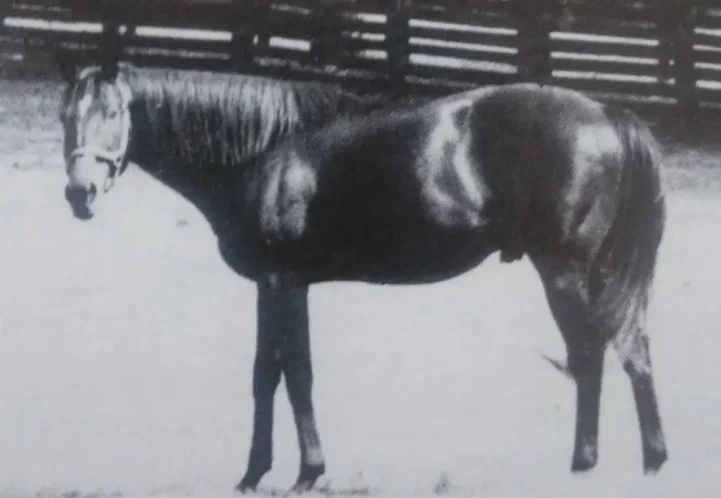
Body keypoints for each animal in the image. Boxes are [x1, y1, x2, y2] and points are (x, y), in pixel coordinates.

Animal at [59, 63, 668, 494]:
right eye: (67, 115)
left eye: (113, 111)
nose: (79, 194)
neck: (265, 150)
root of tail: (609, 115)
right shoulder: (274, 285)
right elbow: (265, 374)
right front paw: (253, 474)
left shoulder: (283, 281)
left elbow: (295, 374)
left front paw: (307, 472)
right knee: (634, 353)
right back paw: (652, 461)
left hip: (565, 271)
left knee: (589, 357)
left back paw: (582, 465)